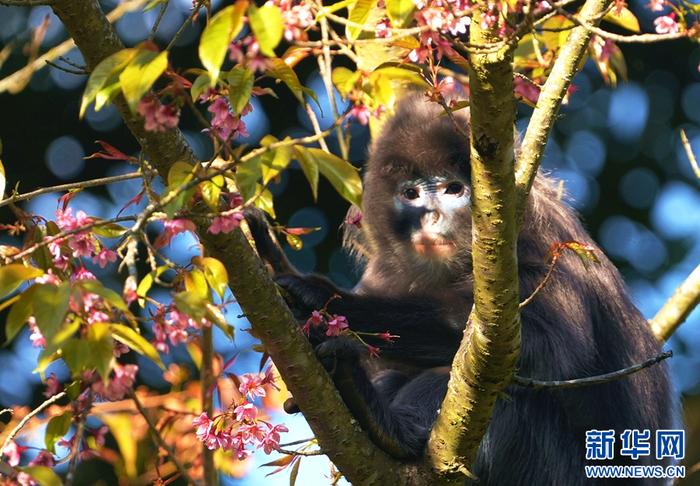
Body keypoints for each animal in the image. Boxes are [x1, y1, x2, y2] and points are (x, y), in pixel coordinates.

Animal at [245, 96, 672, 486]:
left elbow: (542, 343)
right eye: (412, 194)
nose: (431, 217)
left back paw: (386, 424)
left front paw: (316, 296)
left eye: (454, 189)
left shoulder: (544, 246)